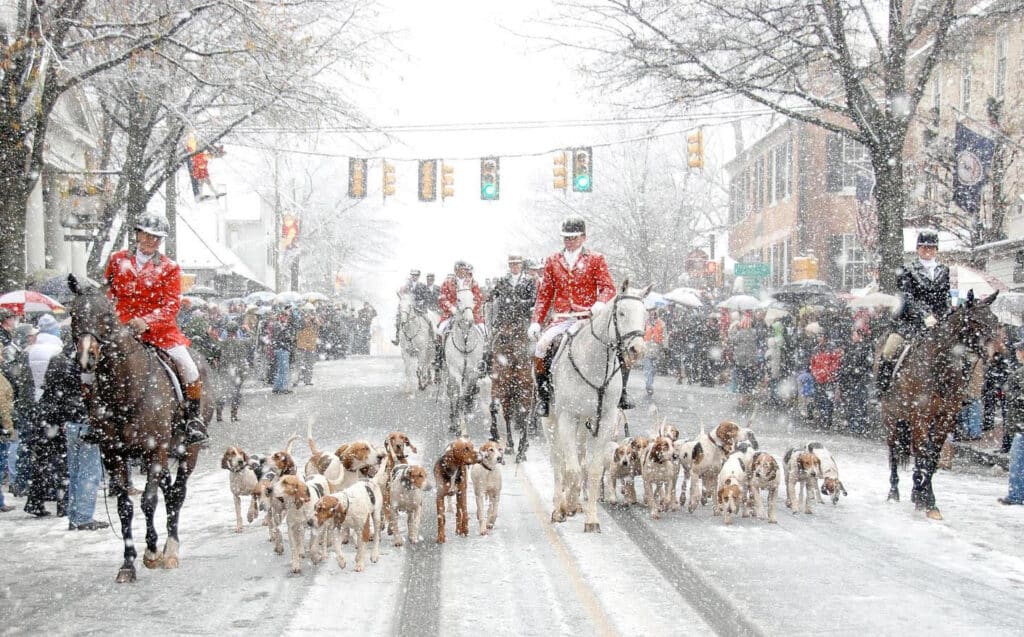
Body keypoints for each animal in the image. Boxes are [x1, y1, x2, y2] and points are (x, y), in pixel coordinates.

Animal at [67, 276, 208, 585]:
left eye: (107, 315)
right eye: (73, 315)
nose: (87, 359)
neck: (124, 391)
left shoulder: (155, 450)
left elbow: (148, 500)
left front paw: (153, 551)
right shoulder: (113, 455)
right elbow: (125, 506)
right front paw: (128, 562)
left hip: (187, 451)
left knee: (177, 493)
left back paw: (171, 548)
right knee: (169, 492)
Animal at [442, 288, 485, 434]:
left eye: (473, 298)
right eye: (458, 299)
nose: (469, 320)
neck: (465, 341)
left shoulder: (472, 372)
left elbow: (465, 394)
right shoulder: (454, 371)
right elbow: (457, 395)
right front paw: (456, 424)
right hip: (448, 373)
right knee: (451, 393)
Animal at [544, 282, 647, 532]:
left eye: (646, 315)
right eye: (622, 313)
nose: (637, 349)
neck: (594, 363)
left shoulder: (607, 420)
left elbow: (591, 470)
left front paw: (591, 518)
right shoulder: (567, 417)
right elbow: (571, 469)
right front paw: (566, 506)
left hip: (584, 424)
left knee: (579, 458)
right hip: (551, 421)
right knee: (558, 461)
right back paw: (558, 504)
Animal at [880, 292, 999, 522]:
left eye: (996, 321)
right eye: (976, 321)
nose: (998, 356)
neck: (939, 367)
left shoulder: (945, 419)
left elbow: (932, 457)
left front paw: (927, 499)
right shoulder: (920, 417)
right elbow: (923, 454)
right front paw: (923, 496)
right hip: (892, 420)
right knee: (894, 453)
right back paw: (893, 492)